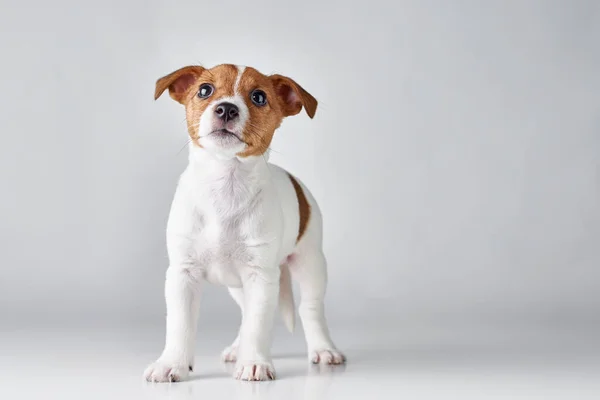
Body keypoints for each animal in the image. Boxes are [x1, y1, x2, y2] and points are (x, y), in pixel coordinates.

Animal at [142, 64, 344, 382]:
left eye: (259, 97)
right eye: (204, 90)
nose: (226, 108)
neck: (225, 183)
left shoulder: (260, 276)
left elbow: (257, 324)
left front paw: (254, 362)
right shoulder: (183, 274)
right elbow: (180, 325)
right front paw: (171, 363)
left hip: (310, 263)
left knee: (309, 309)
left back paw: (323, 349)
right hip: (238, 285)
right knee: (246, 311)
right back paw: (238, 347)